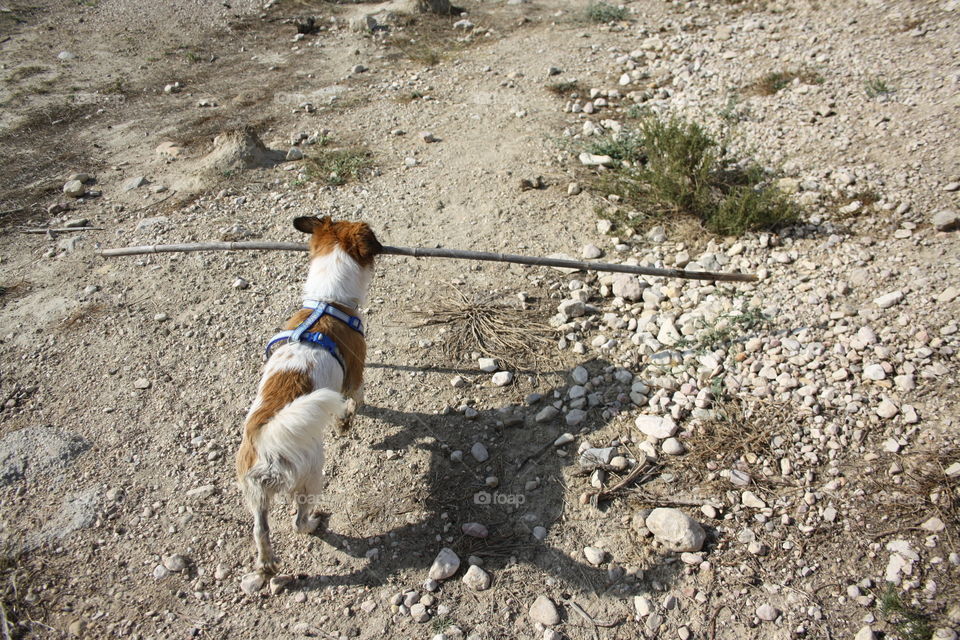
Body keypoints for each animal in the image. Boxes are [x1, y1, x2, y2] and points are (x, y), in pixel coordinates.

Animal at [234, 215, 380, 576]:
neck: (326, 302)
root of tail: (265, 436)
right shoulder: (355, 377)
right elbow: (357, 401)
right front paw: (347, 421)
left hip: (255, 495)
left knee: (261, 530)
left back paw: (267, 563)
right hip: (310, 476)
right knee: (297, 522)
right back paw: (314, 523)